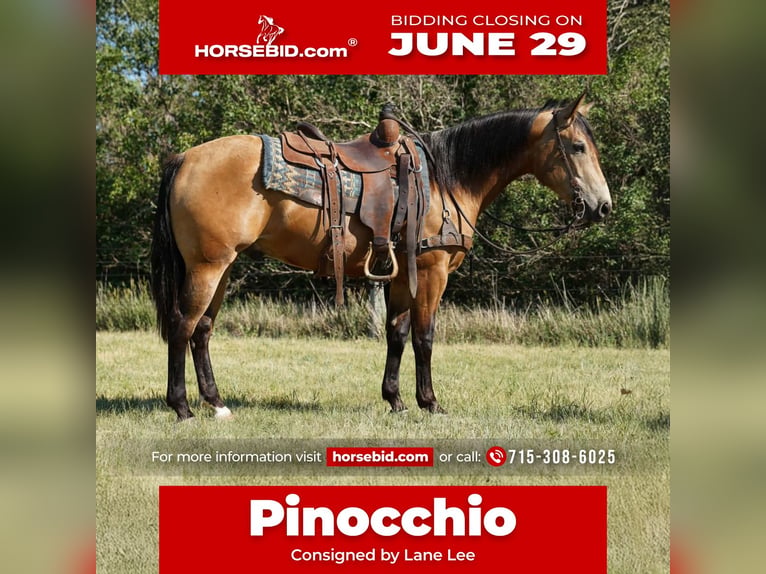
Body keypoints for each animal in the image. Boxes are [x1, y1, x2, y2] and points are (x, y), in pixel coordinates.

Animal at [150, 92, 612, 421]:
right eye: (576, 147)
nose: (603, 206)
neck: (445, 180)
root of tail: (184, 158)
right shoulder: (431, 270)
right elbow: (425, 336)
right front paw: (431, 403)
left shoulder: (403, 274)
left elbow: (397, 333)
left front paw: (396, 400)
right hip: (207, 267)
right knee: (182, 324)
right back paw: (182, 407)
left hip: (222, 267)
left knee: (202, 330)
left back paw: (216, 403)